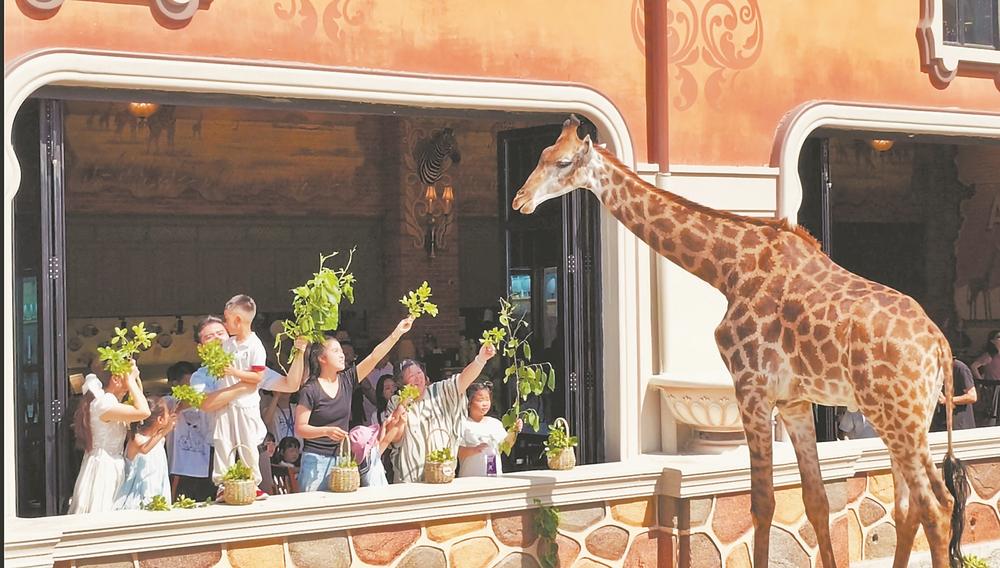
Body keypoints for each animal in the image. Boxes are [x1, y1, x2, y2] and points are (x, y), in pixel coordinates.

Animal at [511, 116, 967, 568]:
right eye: (542, 154)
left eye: (563, 162)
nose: (520, 199)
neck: (728, 269)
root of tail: (939, 345)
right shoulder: (794, 401)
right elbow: (815, 500)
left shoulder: (751, 388)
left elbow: (762, 503)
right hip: (905, 417)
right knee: (910, 507)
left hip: (897, 415)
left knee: (936, 505)